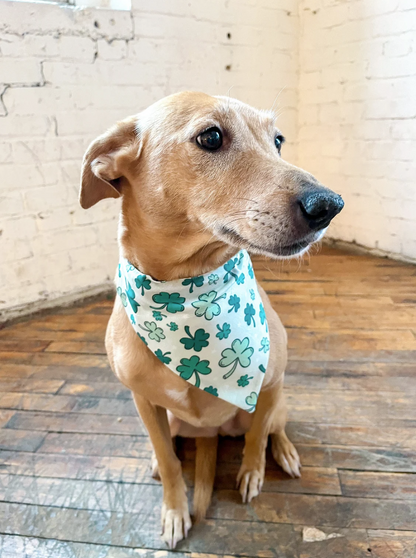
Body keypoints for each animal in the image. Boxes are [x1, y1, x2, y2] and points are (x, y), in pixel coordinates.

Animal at [79, 92, 342, 552]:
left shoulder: (268, 386)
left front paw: (252, 473)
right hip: (170, 420)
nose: (329, 205)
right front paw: (173, 510)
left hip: (278, 397)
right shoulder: (143, 402)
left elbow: (255, 439)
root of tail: (208, 435)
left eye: (278, 140)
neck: (186, 292)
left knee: (273, 428)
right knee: (167, 446)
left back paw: (285, 452)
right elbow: (169, 462)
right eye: (211, 136)